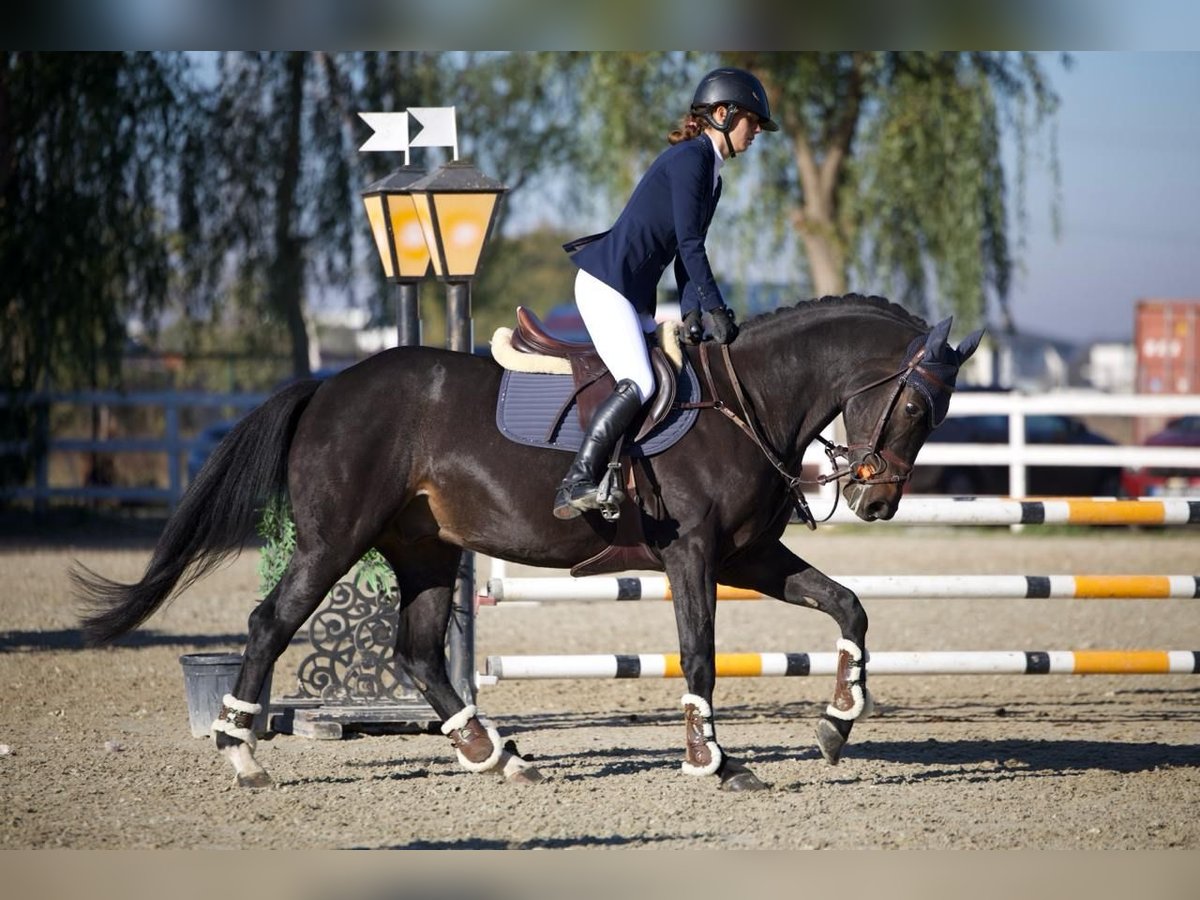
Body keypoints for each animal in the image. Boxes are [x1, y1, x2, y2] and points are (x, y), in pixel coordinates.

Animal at [75, 294, 979, 787]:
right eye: (914, 405)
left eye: (937, 414)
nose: (876, 499)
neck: (744, 400)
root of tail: (329, 385)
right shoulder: (694, 555)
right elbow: (699, 654)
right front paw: (714, 761)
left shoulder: (747, 556)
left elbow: (850, 608)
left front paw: (835, 726)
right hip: (336, 540)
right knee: (271, 624)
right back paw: (243, 755)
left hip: (426, 551)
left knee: (417, 650)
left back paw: (496, 754)